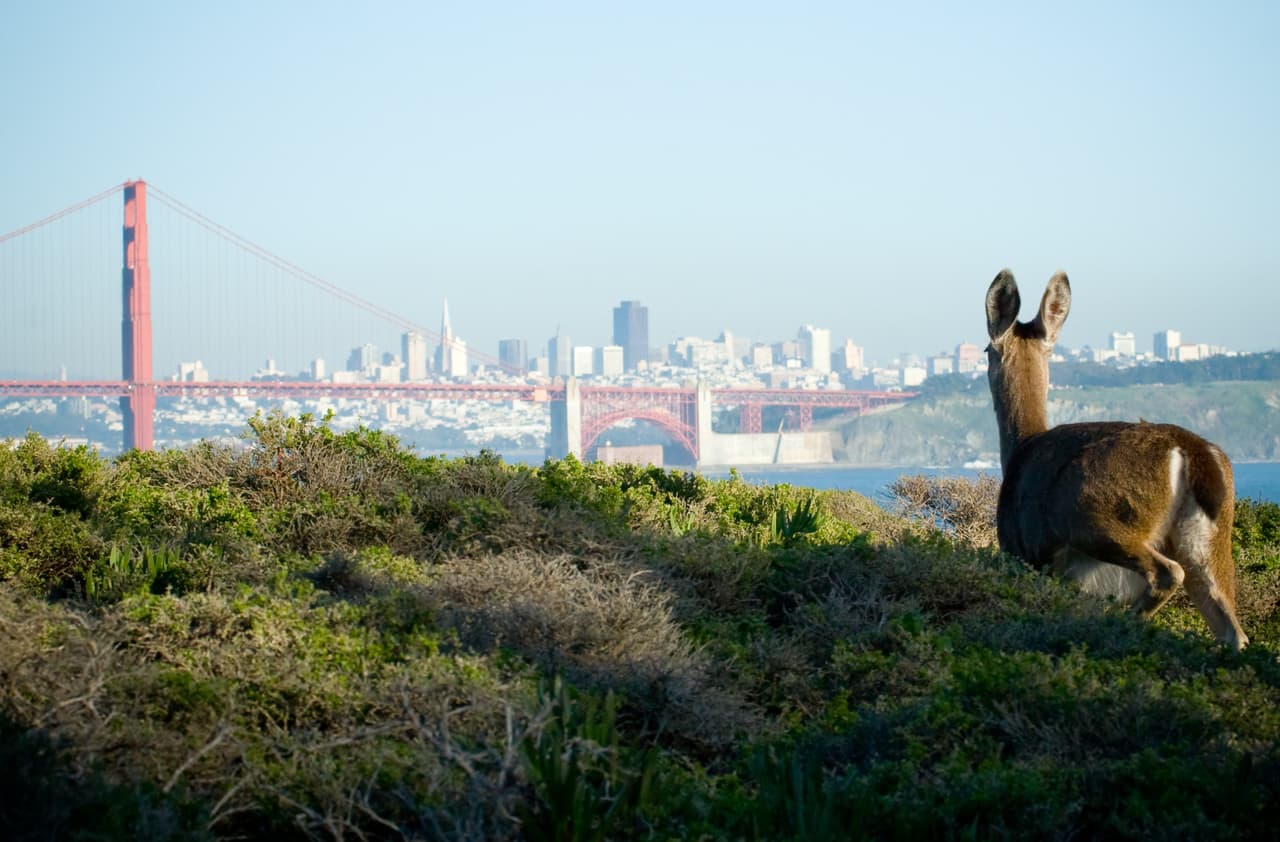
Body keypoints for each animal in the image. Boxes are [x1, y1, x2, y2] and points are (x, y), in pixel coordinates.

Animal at [984, 269, 1247, 649]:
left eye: (986, 350)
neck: (1022, 447)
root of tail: (1190, 449)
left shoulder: (1027, 554)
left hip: (1098, 519)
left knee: (1166, 572)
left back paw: (1123, 625)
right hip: (1210, 539)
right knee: (1232, 630)